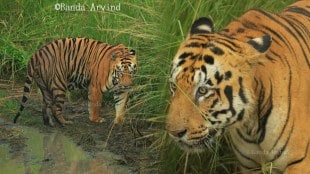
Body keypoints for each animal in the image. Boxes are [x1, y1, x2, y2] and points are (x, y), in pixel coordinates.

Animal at [166, 0, 310, 173]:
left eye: (202, 90)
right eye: (173, 86)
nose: (174, 133)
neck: (251, 125)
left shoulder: (300, 162)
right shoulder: (249, 166)